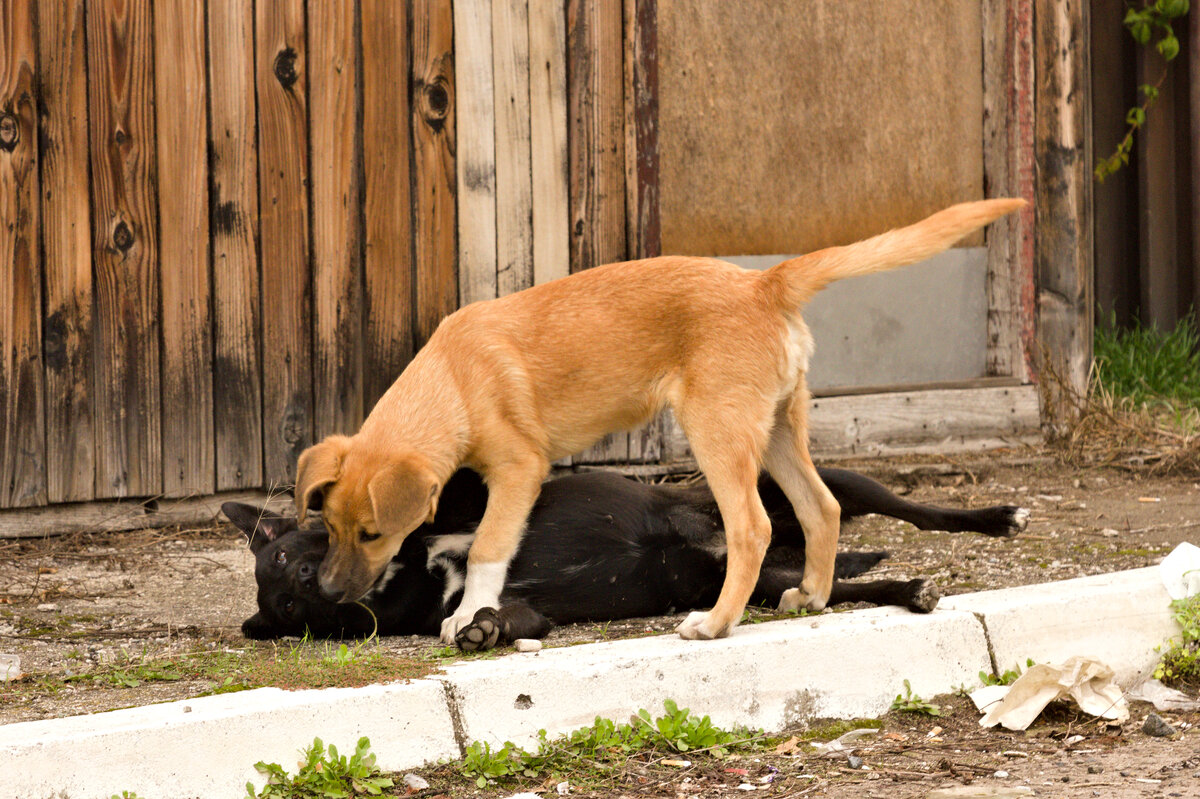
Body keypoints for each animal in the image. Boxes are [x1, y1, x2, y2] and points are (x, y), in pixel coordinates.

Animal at [297, 197, 1022, 643]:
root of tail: (764, 282)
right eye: (327, 527)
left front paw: (468, 615)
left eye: (372, 533)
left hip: (718, 432)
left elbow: (487, 549)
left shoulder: (519, 470)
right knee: (821, 508)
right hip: (777, 428)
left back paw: (716, 621)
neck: (453, 381)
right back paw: (811, 595)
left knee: (755, 528)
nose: (326, 589)